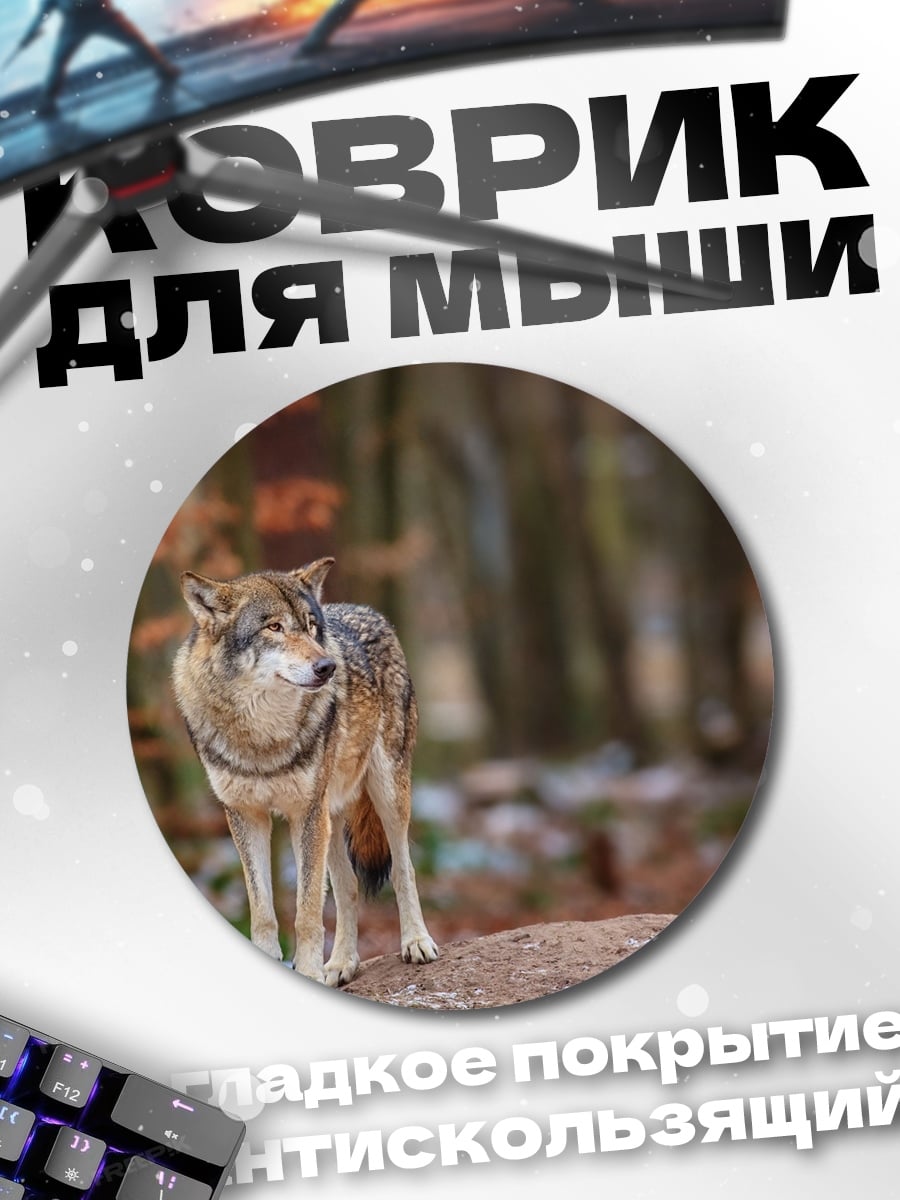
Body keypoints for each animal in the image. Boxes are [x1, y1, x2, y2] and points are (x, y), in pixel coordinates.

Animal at [172, 557, 438, 986]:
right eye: (274, 627)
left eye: (312, 627)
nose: (328, 666)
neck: (262, 738)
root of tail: (368, 611)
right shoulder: (246, 817)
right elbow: (263, 911)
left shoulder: (305, 814)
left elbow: (307, 912)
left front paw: (309, 971)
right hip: (331, 815)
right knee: (347, 887)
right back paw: (342, 963)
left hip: (385, 795)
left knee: (403, 869)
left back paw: (416, 942)